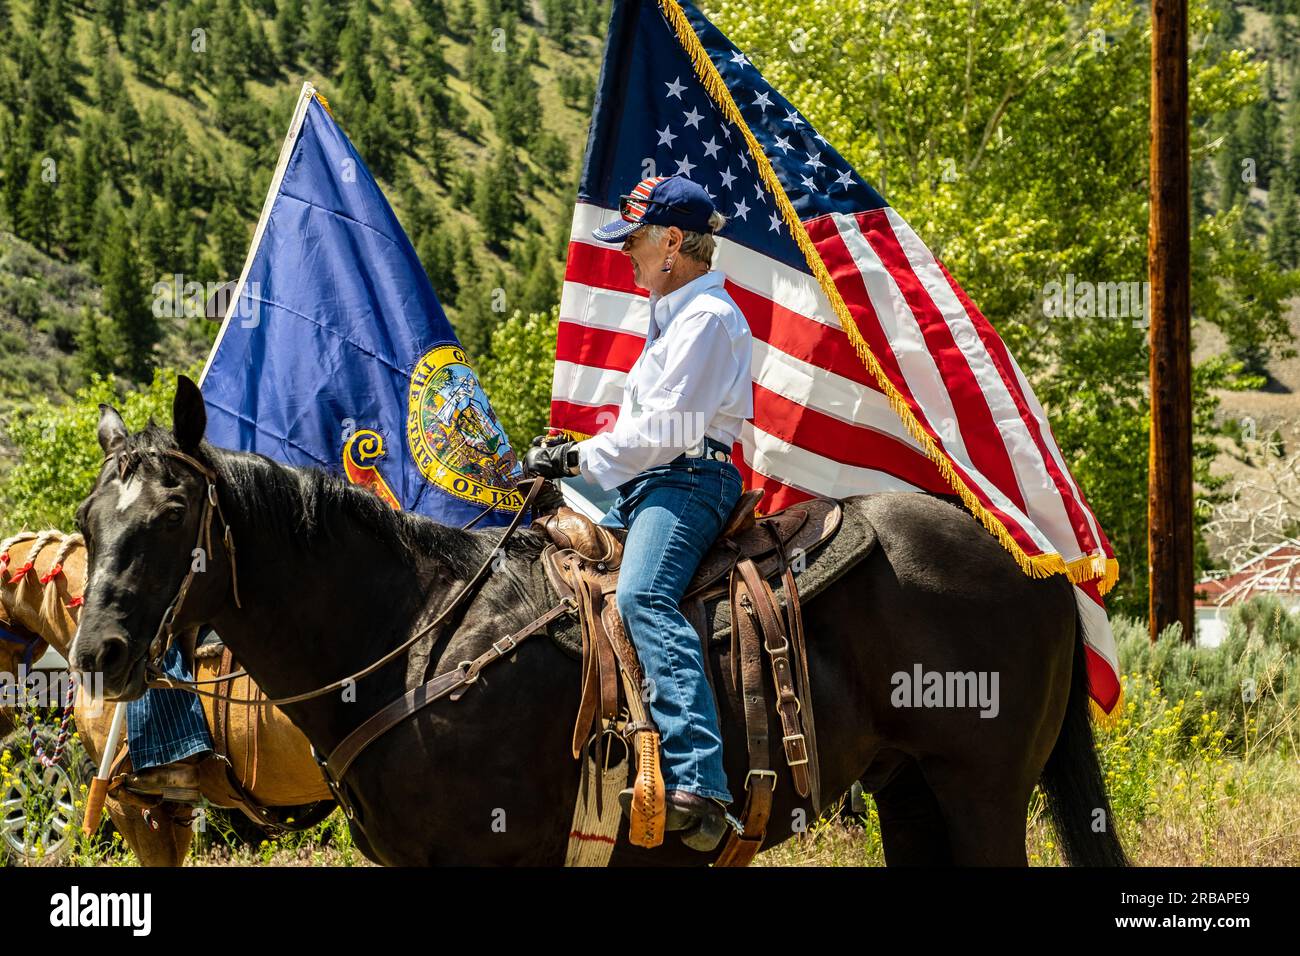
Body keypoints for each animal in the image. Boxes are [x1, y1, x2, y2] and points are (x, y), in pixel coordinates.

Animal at [71, 379, 1128, 868]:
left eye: (173, 517)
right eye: (88, 521)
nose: (97, 654)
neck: (413, 639)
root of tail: (1035, 558)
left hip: (981, 791)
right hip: (909, 791)